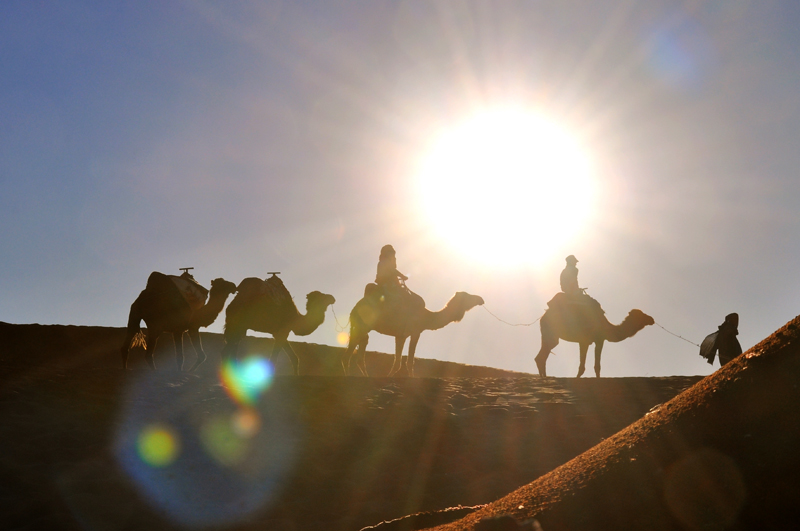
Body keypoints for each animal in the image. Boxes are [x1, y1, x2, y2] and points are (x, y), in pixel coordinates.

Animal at [342, 286, 484, 378]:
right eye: (468, 296)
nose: (481, 299)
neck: (427, 317)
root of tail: (355, 308)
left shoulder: (402, 335)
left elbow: (399, 361)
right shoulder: (414, 332)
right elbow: (408, 361)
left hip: (362, 328)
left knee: (361, 349)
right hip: (362, 325)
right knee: (348, 353)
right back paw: (348, 376)